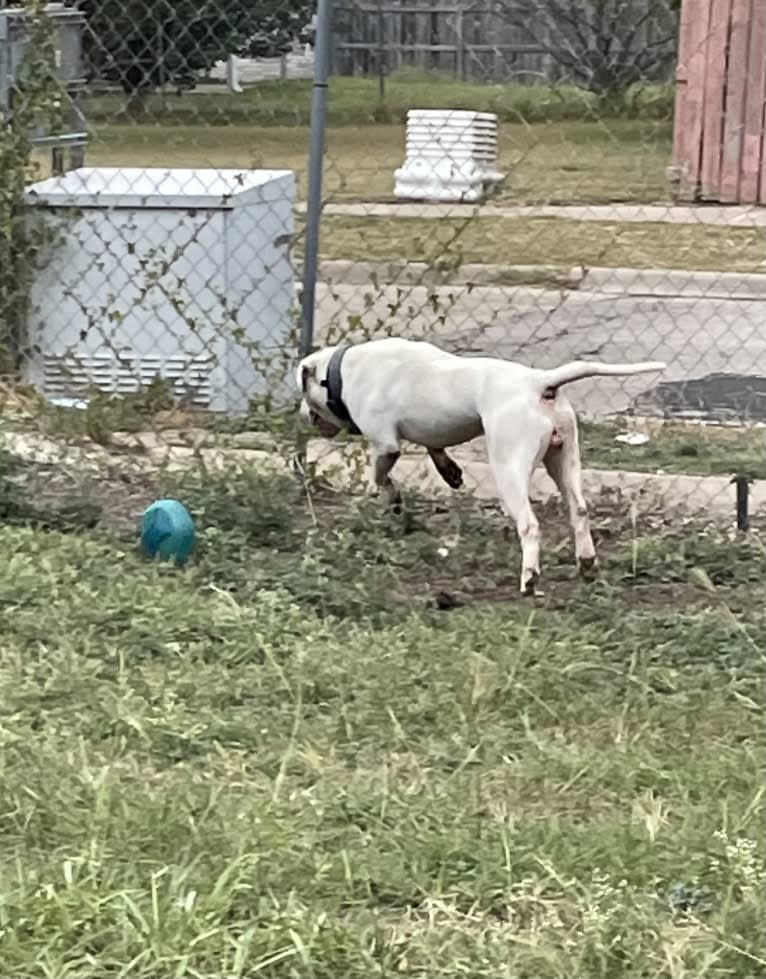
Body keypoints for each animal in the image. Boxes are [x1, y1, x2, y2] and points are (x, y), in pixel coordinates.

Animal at [300, 336, 664, 596]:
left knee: (530, 525)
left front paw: (392, 499)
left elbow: (381, 476)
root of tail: (540, 382)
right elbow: (436, 448)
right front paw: (449, 473)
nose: (302, 416)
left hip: (509, 468)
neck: (340, 371)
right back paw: (587, 565)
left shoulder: (386, 445)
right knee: (580, 511)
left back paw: (529, 579)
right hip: (564, 461)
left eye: (305, 395)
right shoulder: (431, 429)